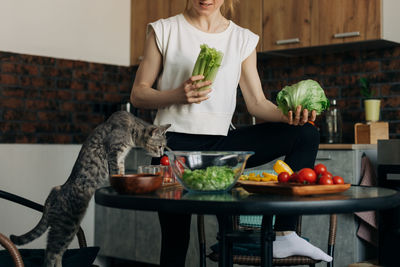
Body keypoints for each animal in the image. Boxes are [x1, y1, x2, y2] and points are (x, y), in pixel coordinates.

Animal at [10, 111, 170, 267]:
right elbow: (115, 172)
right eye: (160, 146)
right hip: (66, 225)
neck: (131, 129)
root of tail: (56, 191)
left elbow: (121, 171)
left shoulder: (121, 158)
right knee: (50, 254)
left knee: (57, 253)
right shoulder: (114, 151)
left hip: (66, 228)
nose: (162, 154)